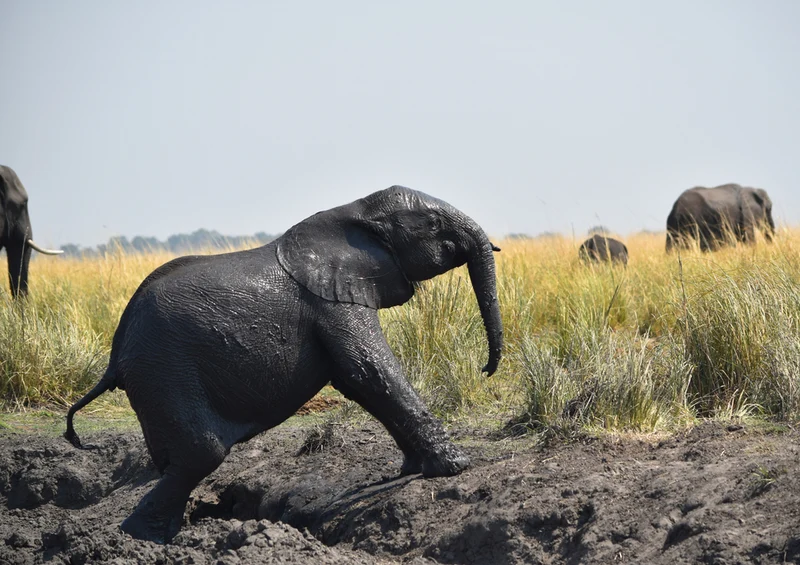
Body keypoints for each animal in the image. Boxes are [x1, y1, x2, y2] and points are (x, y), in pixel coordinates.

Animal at [65, 185, 504, 543]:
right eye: (433, 223)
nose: (485, 370)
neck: (354, 210)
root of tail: (115, 354)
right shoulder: (332, 301)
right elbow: (369, 370)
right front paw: (457, 466)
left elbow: (358, 381)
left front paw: (414, 467)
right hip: (163, 370)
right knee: (200, 454)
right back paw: (142, 541)